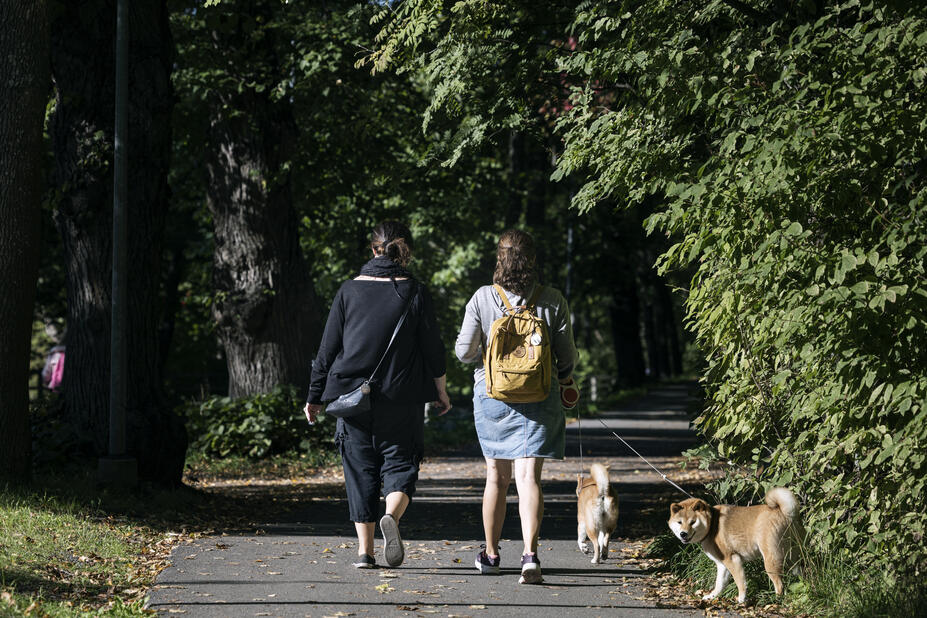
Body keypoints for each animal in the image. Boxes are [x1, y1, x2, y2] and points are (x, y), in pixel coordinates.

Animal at [668, 486, 804, 600]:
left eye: (693, 522)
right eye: (679, 522)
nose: (683, 534)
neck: (711, 525)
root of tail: (785, 513)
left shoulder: (733, 560)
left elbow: (740, 583)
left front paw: (741, 600)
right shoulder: (722, 565)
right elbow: (719, 584)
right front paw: (712, 596)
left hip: (771, 560)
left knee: (779, 584)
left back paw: (775, 600)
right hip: (794, 559)